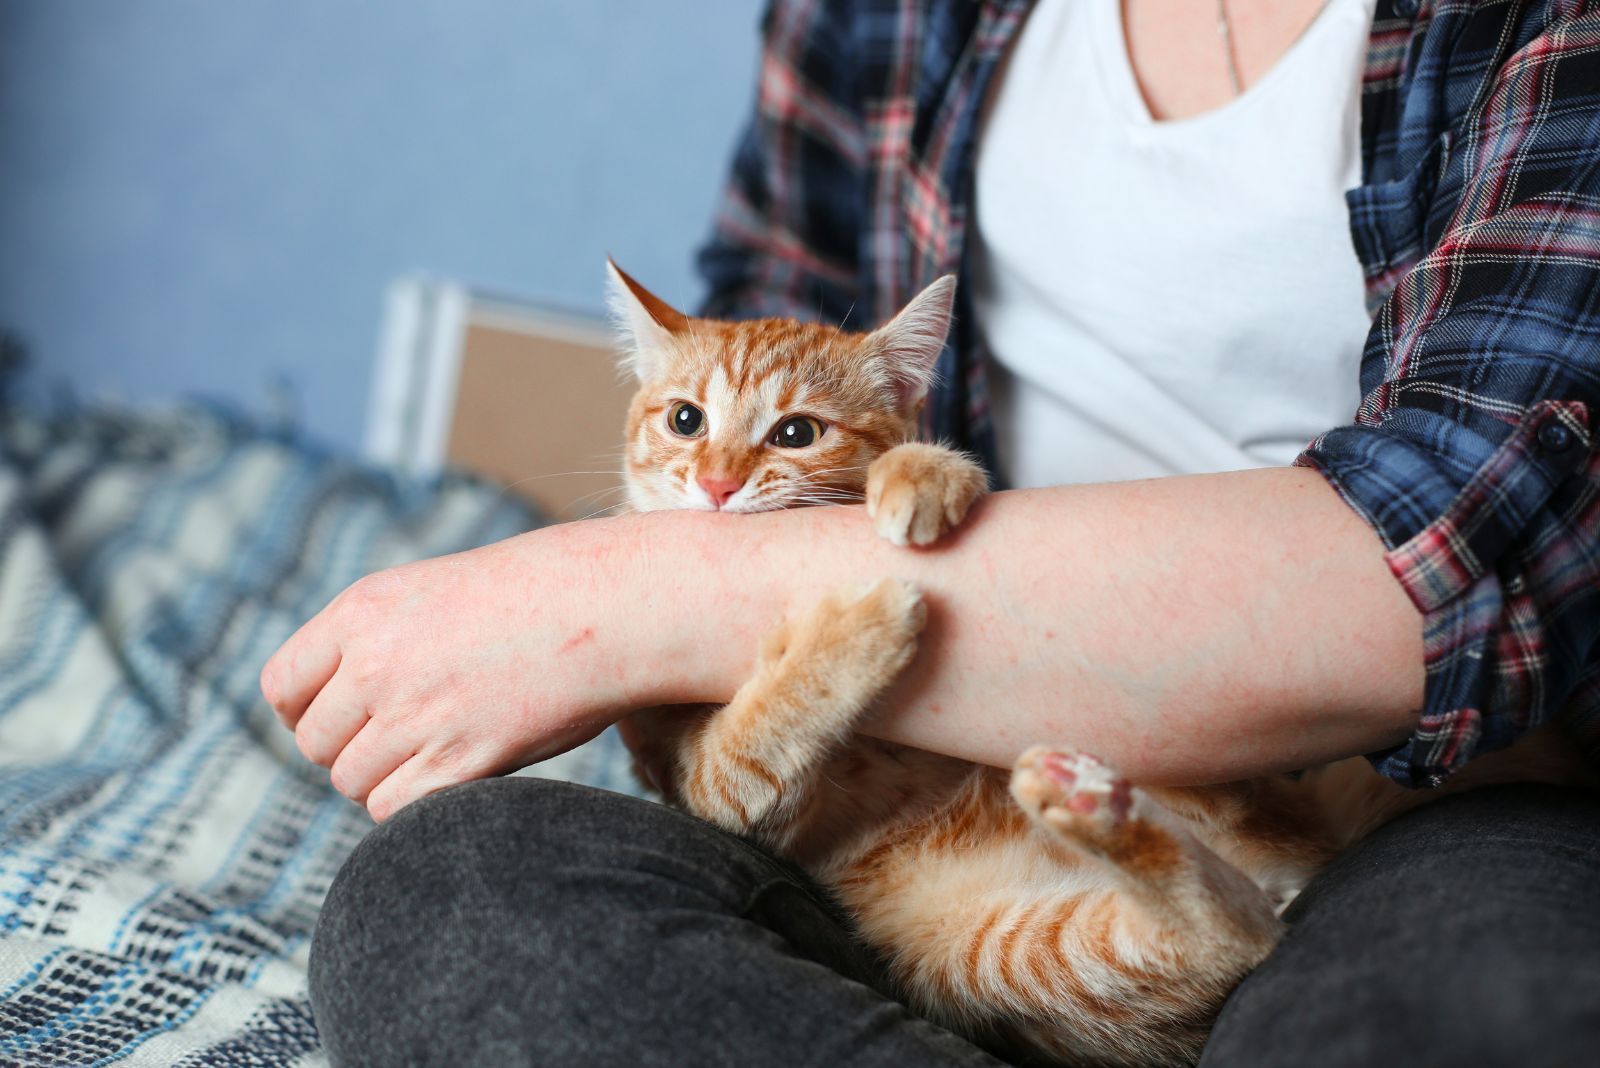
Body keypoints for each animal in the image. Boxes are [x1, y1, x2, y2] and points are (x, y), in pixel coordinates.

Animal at [601, 260, 1587, 1068]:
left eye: (797, 433)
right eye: (685, 420)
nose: (718, 485)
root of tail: (1300, 845)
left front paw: (926, 472)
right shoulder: (715, 791)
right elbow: (750, 744)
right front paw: (863, 622)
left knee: (1243, 917)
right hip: (989, 951)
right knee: (1234, 938)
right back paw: (1096, 809)